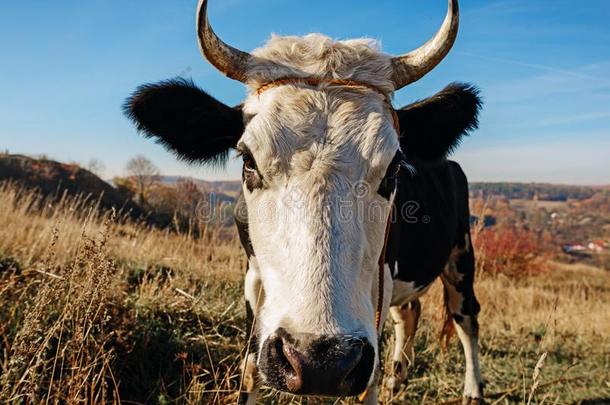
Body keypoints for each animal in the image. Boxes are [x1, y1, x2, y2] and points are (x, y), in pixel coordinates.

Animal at [124, 0, 480, 400]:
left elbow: (368, 381)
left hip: (461, 254)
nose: (320, 361)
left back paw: (471, 390)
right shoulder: (254, 277)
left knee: (466, 317)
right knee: (410, 312)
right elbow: (250, 368)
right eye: (248, 160)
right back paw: (398, 376)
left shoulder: (379, 283)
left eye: (393, 168)